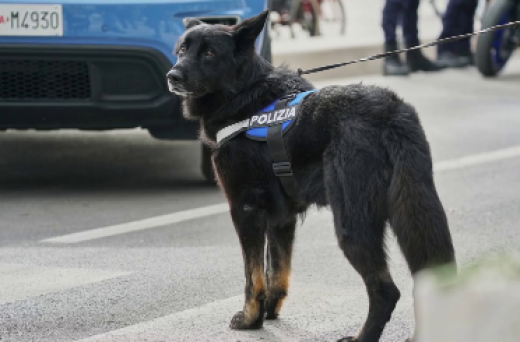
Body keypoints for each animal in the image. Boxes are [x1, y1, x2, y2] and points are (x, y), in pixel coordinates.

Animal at [167, 10, 456, 342]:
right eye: (182, 50)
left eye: (209, 54)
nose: (172, 76)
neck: (242, 93)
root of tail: (391, 112)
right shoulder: (281, 219)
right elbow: (276, 273)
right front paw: (269, 312)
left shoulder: (245, 210)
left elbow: (253, 277)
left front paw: (251, 318)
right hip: (413, 212)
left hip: (353, 225)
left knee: (386, 292)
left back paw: (362, 336)